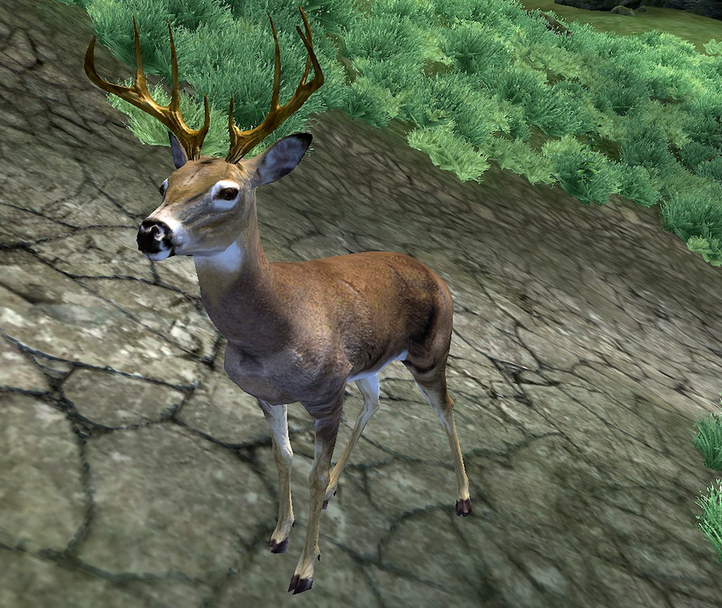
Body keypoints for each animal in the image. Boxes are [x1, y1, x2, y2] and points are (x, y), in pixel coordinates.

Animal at [84, 6, 471, 594]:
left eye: (227, 191)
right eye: (165, 183)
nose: (152, 231)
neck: (274, 329)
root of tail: (438, 276)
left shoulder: (326, 395)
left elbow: (310, 471)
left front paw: (305, 571)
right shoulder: (269, 396)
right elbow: (284, 457)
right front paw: (279, 534)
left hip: (431, 352)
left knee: (447, 409)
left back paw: (464, 499)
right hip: (369, 363)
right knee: (376, 399)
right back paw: (339, 490)